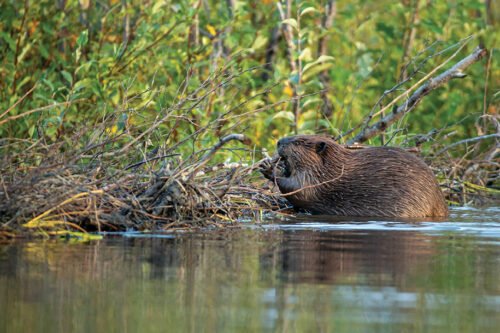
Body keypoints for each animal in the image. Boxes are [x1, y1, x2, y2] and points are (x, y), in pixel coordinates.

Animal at [262, 134, 450, 217]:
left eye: (297, 142)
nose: (278, 142)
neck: (333, 165)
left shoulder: (317, 179)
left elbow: (299, 190)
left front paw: (268, 169)